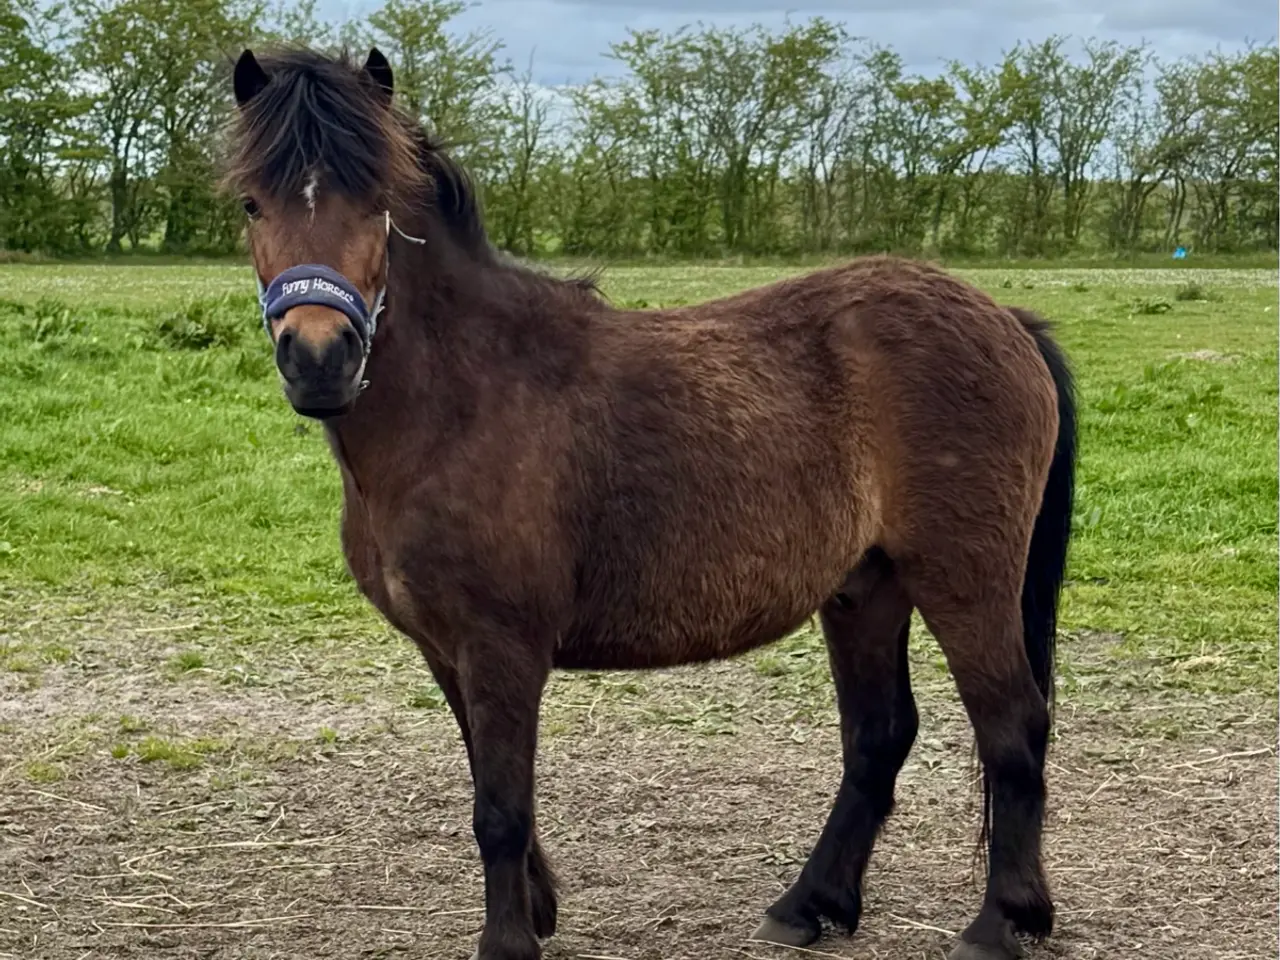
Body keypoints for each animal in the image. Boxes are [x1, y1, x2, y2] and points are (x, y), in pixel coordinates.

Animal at [225, 46, 1077, 960]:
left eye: (376, 202)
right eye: (252, 203)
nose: (319, 359)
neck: (462, 397)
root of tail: (1008, 320)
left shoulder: (502, 646)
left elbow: (500, 810)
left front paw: (508, 941)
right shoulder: (443, 650)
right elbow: (494, 790)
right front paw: (536, 911)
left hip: (964, 581)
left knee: (1013, 728)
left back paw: (1000, 921)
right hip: (866, 588)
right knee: (878, 739)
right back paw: (811, 903)